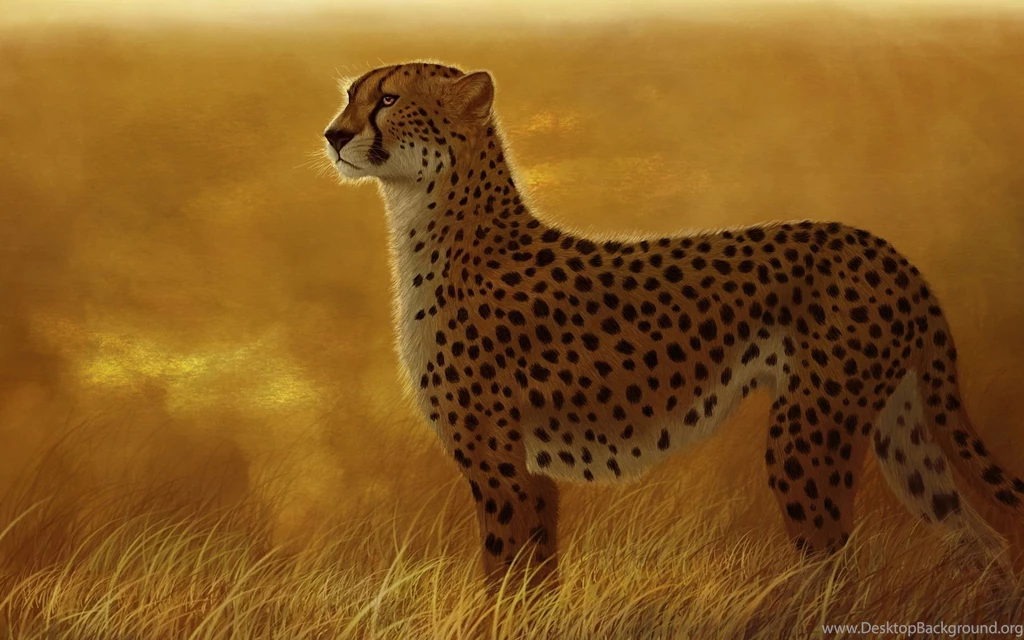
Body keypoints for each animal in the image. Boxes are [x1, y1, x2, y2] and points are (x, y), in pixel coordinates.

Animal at [322, 61, 1024, 589]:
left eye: (388, 99)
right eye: (351, 96)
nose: (332, 135)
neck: (431, 218)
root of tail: (887, 250)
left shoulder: (499, 469)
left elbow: (502, 581)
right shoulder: (532, 472)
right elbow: (535, 581)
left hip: (807, 437)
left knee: (836, 566)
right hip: (899, 430)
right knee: (984, 542)